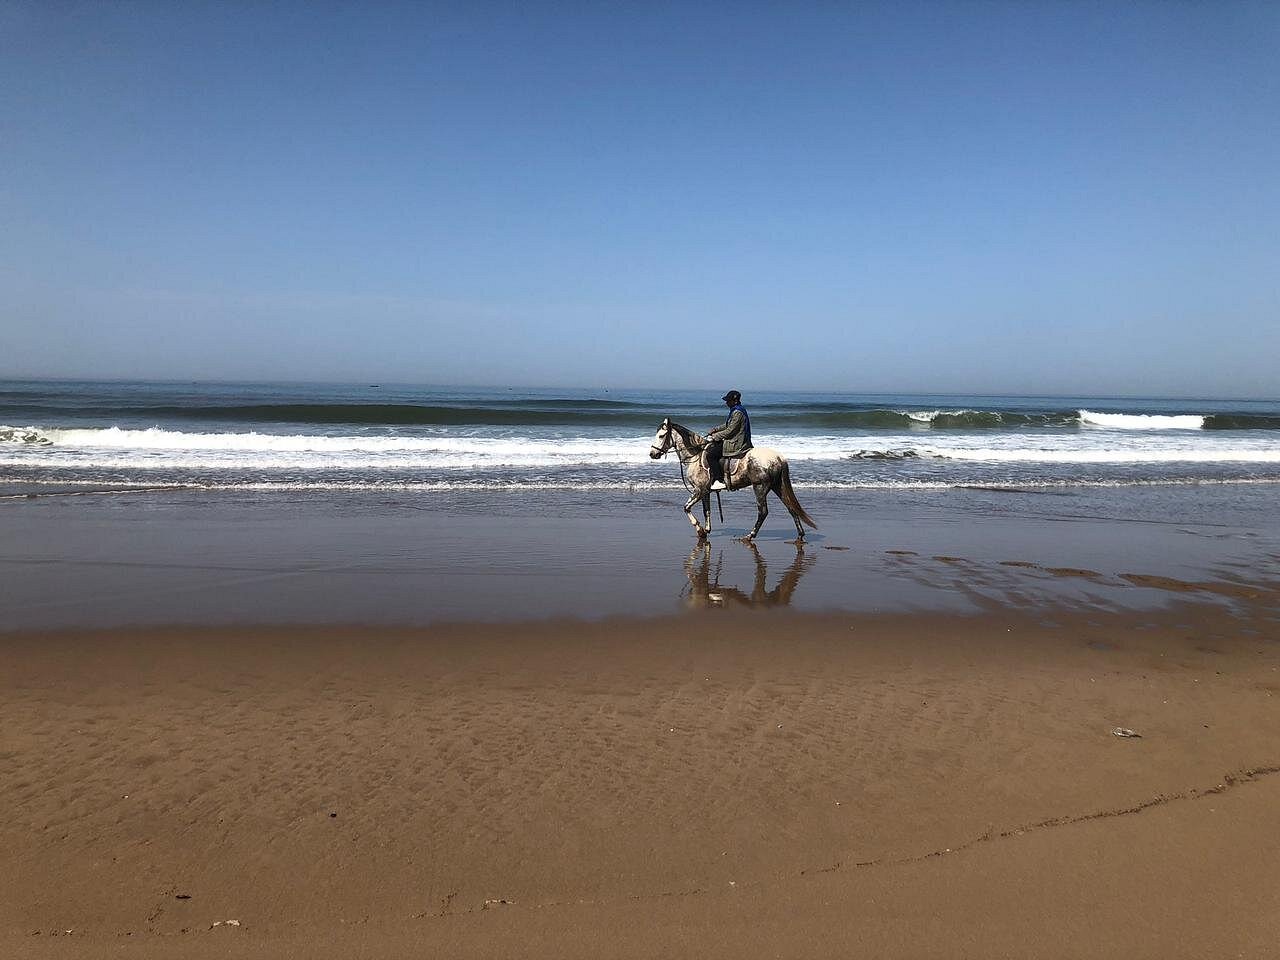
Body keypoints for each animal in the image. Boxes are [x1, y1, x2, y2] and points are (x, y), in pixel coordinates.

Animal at [649, 419, 818, 541]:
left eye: (661, 436)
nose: (652, 454)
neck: (695, 455)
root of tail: (778, 457)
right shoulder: (705, 492)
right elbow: (706, 510)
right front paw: (706, 530)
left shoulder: (699, 490)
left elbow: (686, 508)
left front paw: (700, 530)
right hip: (778, 487)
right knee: (791, 508)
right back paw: (800, 535)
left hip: (760, 487)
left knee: (763, 512)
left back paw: (750, 536)